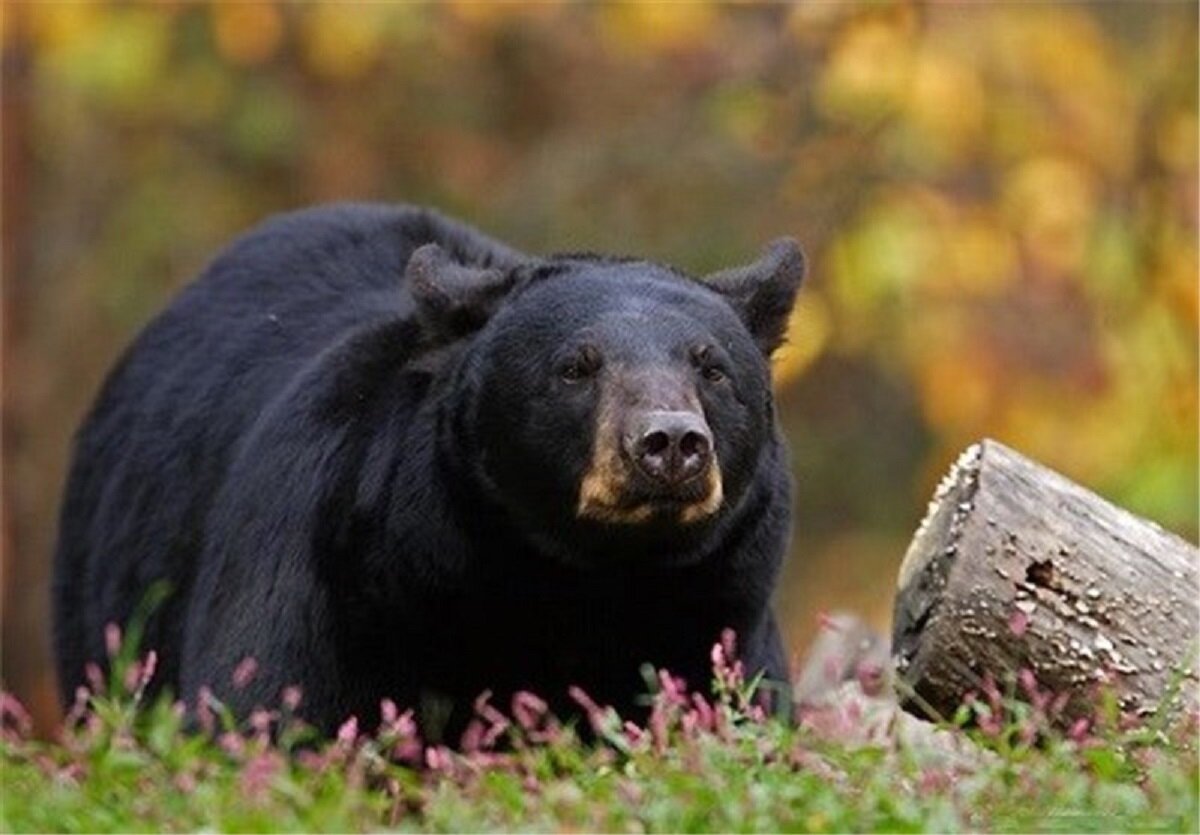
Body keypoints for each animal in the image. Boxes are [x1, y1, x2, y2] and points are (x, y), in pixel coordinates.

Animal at [54, 205, 806, 739]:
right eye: (575, 367)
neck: (582, 577)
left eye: (711, 367)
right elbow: (272, 704)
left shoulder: (719, 614)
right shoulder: (329, 569)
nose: (669, 441)